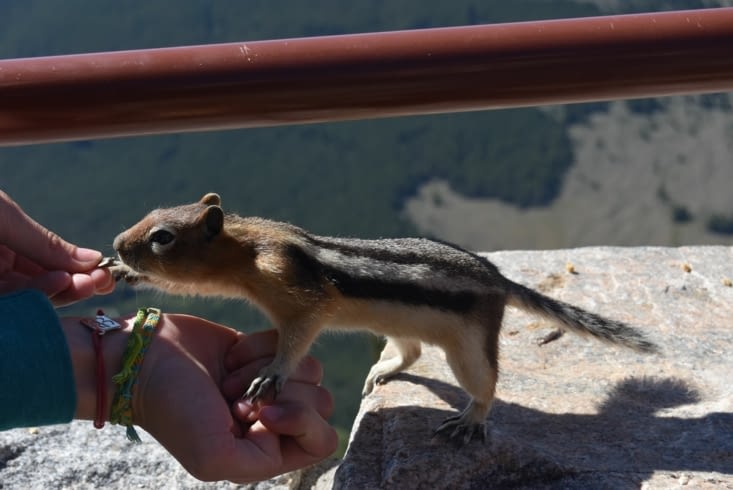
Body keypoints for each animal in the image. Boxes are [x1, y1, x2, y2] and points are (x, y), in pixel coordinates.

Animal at [109, 193, 657, 443]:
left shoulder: (301, 297)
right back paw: (384, 371)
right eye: (149, 214)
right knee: (411, 353)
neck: (251, 247)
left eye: (162, 237)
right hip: (399, 328)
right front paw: (121, 272)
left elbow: (299, 336)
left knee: (486, 383)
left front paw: (272, 374)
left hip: (469, 346)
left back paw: (470, 419)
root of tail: (499, 278)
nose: (116, 243)